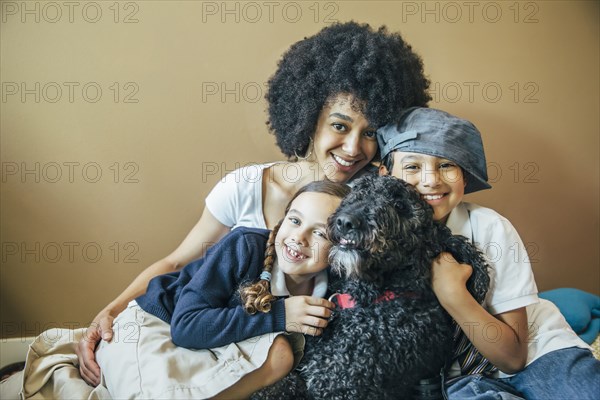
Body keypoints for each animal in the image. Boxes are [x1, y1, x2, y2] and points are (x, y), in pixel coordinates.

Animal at [253, 176, 492, 400]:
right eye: (359, 190)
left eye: (400, 205)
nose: (345, 222)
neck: (369, 301)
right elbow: (280, 385)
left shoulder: (337, 387)